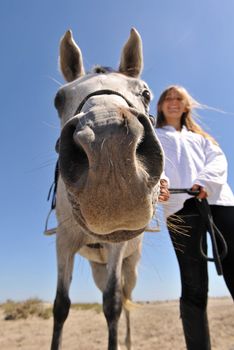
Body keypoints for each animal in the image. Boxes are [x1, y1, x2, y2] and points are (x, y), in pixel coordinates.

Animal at [49, 28, 163, 350]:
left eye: (145, 93)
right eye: (58, 99)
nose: (107, 139)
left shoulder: (117, 245)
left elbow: (112, 304)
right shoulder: (63, 243)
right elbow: (61, 306)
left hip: (129, 267)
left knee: (125, 299)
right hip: (98, 268)